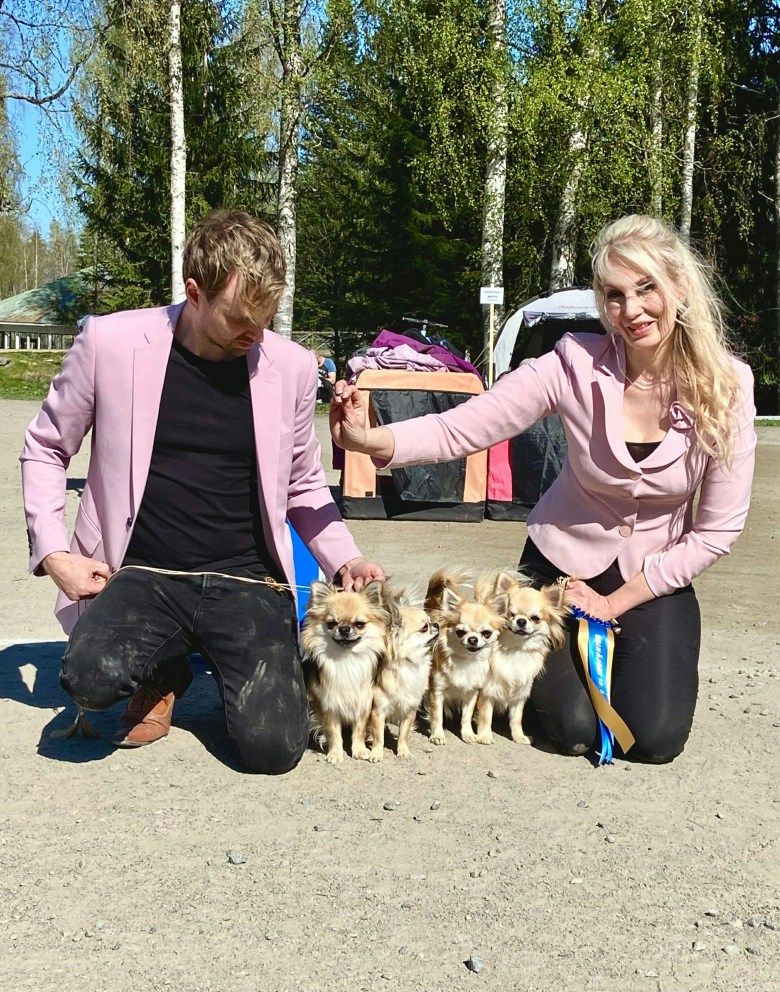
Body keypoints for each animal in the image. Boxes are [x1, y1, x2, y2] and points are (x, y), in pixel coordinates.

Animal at [301, 580, 389, 764]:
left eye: (359, 624)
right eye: (331, 623)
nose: (344, 629)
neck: (346, 659)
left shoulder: (362, 703)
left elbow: (359, 731)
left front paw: (359, 750)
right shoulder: (329, 706)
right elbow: (334, 734)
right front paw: (335, 754)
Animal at [368, 585, 439, 761]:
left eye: (430, 621)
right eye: (425, 627)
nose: (436, 624)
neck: (409, 664)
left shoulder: (409, 709)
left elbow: (403, 734)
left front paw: (403, 751)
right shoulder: (378, 710)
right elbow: (379, 735)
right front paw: (376, 753)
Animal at [424, 567, 504, 745]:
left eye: (486, 633)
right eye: (460, 632)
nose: (473, 639)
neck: (465, 660)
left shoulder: (471, 693)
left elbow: (466, 717)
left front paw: (468, 734)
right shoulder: (437, 691)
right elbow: (437, 716)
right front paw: (437, 735)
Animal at [474, 570, 568, 745]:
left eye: (536, 618)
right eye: (510, 614)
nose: (521, 621)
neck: (515, 649)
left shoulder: (520, 693)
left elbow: (516, 718)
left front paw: (519, 736)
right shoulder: (487, 691)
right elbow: (485, 716)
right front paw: (484, 735)